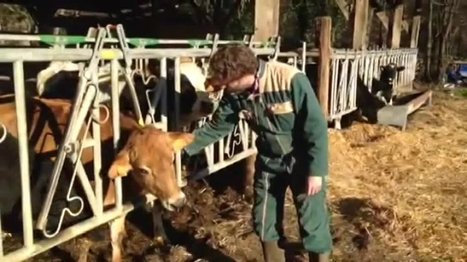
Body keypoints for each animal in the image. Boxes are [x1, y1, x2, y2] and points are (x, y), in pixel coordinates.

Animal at [0, 94, 194, 262]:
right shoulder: (103, 206)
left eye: (172, 159)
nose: (178, 201)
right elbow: (110, 239)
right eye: (143, 170)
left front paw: (161, 238)